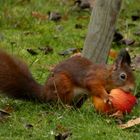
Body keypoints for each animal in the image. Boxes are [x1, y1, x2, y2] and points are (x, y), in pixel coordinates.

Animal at [0, 48, 135, 107]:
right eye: (123, 76)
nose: (132, 89)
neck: (107, 75)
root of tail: (45, 93)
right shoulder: (93, 78)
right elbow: (95, 87)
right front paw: (106, 97)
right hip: (62, 84)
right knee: (57, 102)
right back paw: (66, 107)